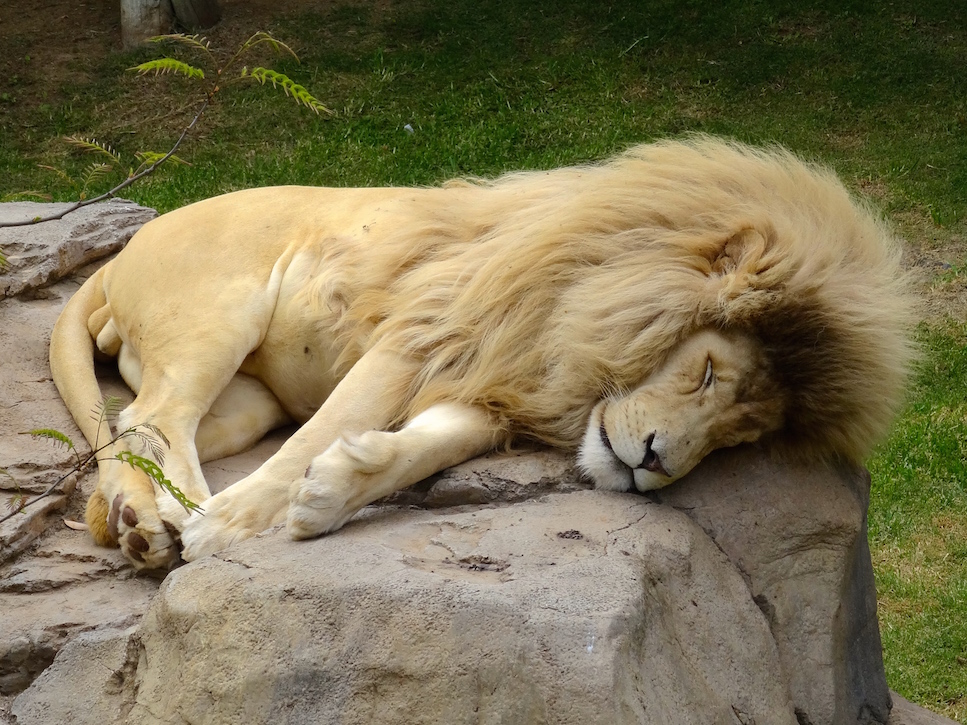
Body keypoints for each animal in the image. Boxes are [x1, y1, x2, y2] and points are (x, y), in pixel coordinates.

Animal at [48, 137, 915, 570]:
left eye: (740, 436)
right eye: (704, 371)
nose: (655, 462)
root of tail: (116, 258)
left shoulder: (495, 387)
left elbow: (420, 445)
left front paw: (331, 494)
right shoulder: (428, 331)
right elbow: (319, 433)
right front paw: (227, 526)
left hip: (247, 400)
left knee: (134, 423)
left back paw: (136, 523)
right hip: (219, 319)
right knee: (160, 415)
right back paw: (176, 517)